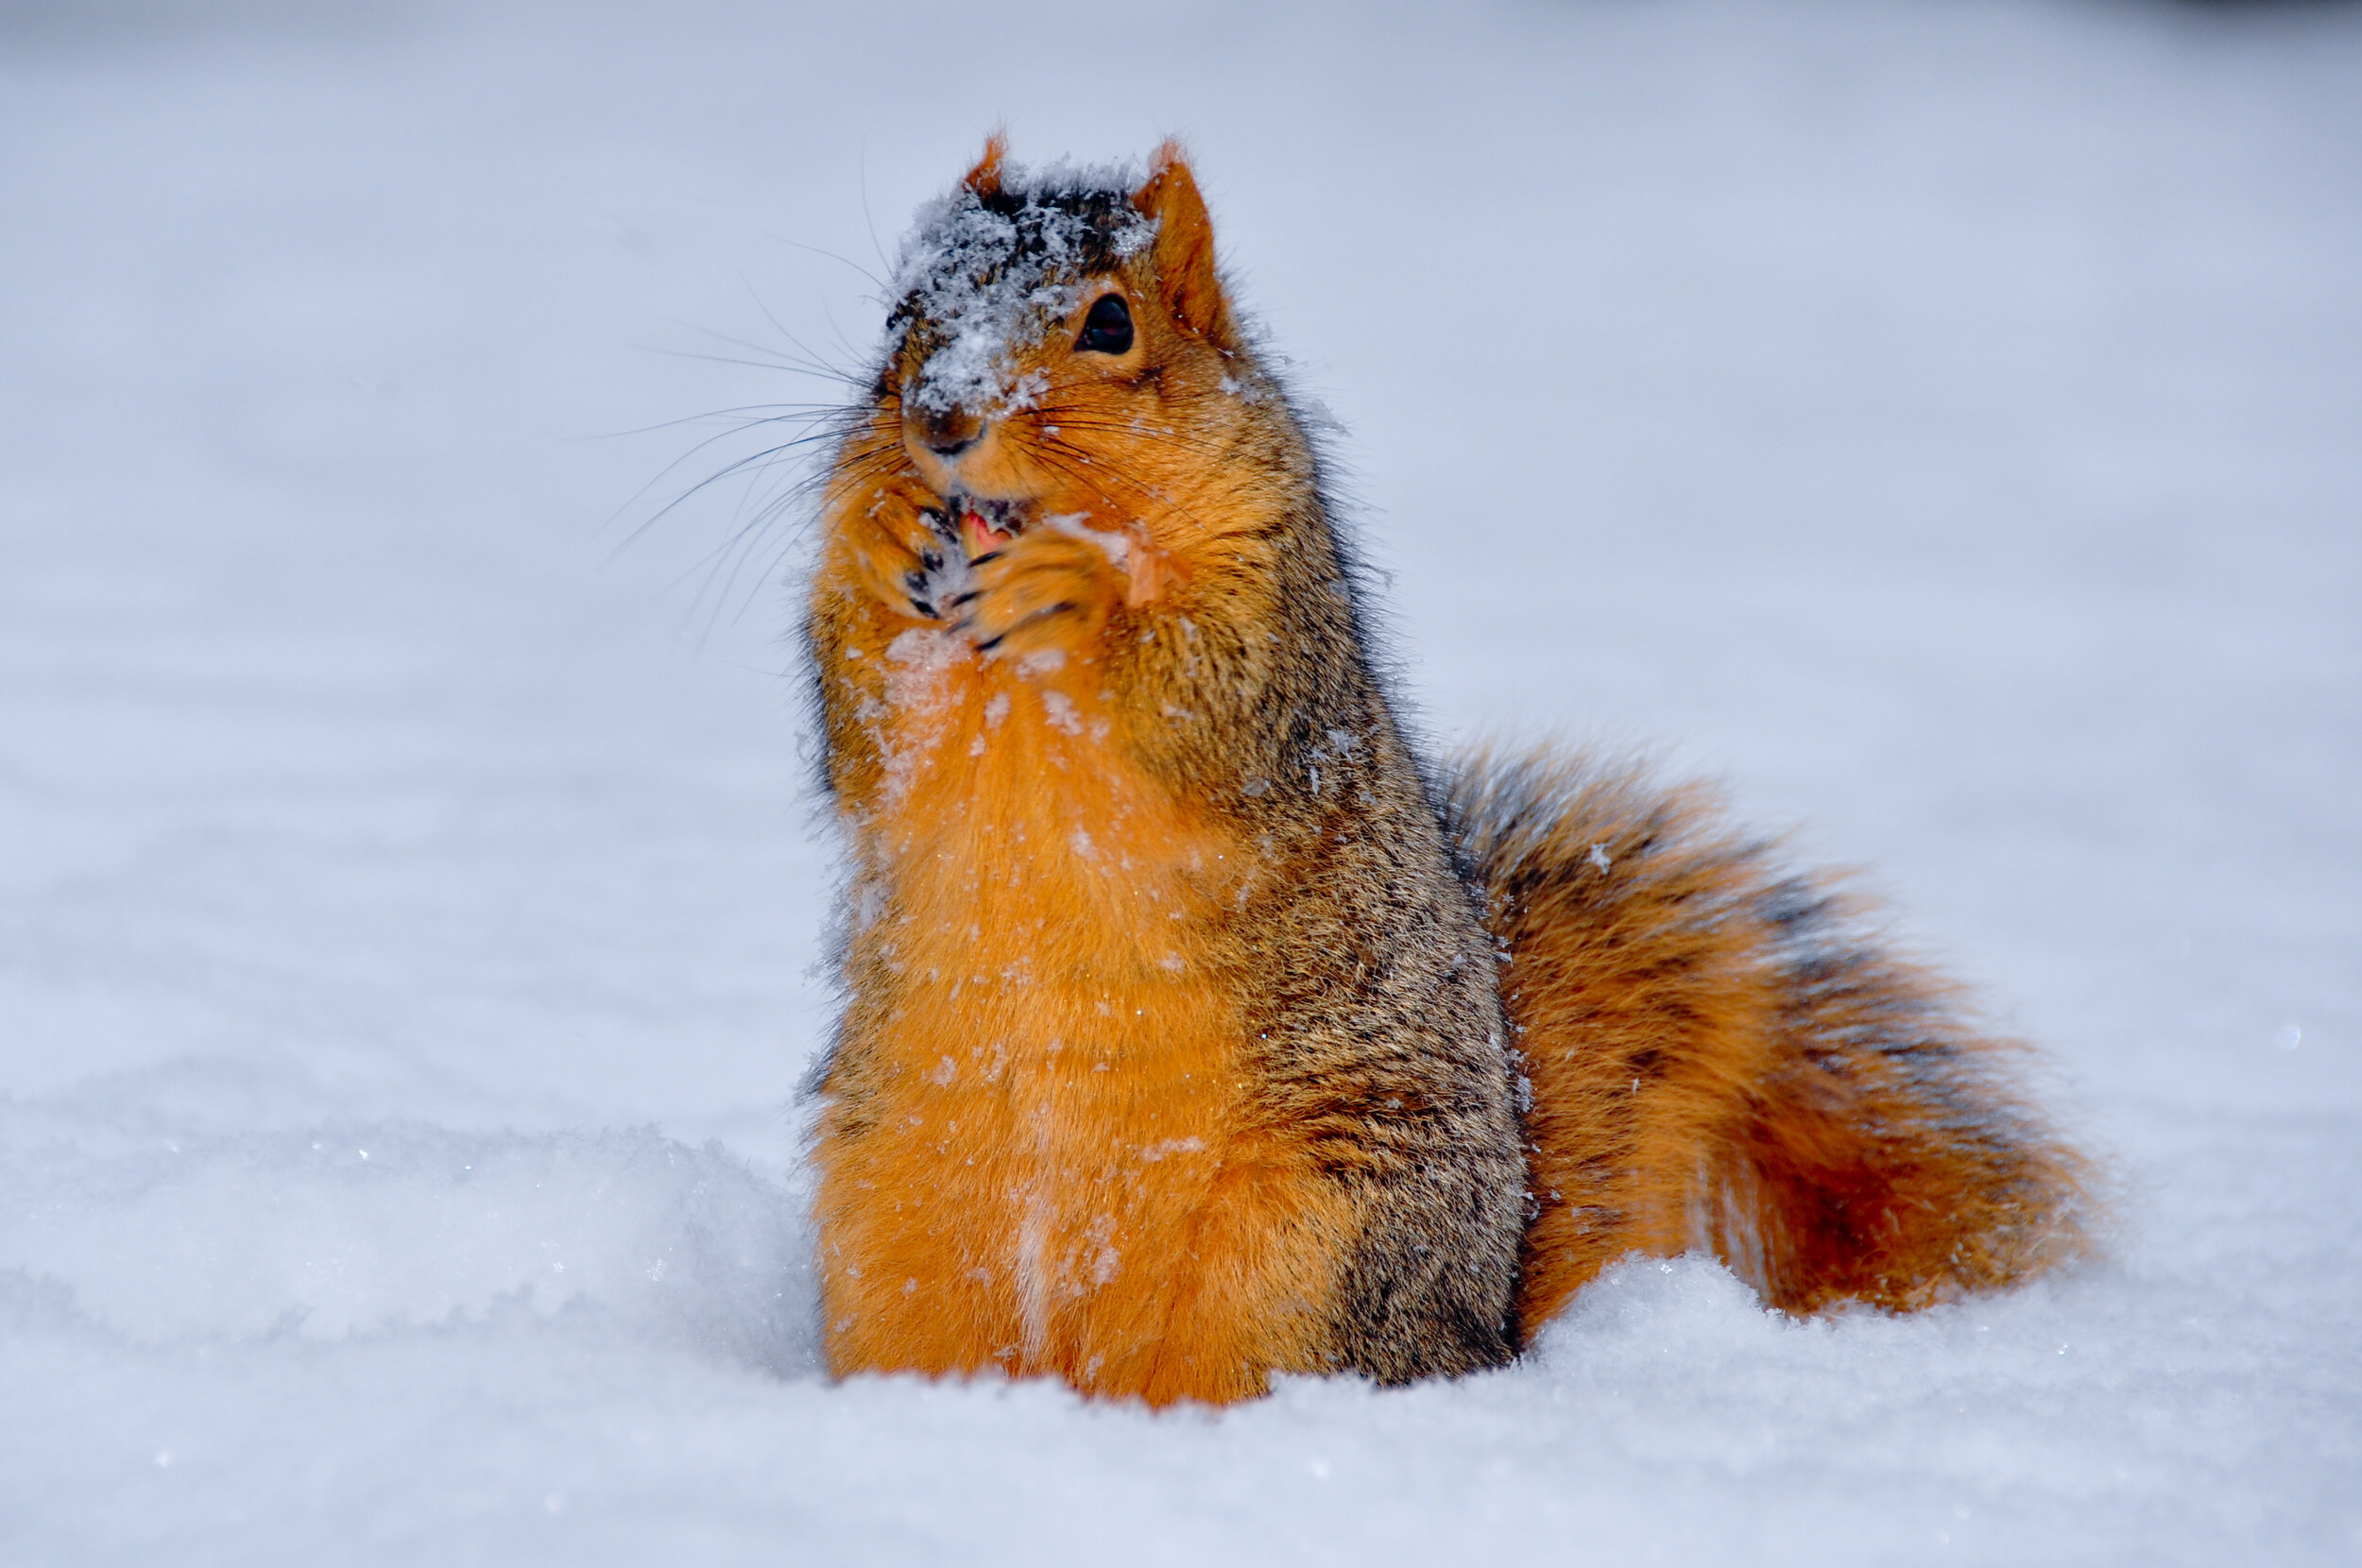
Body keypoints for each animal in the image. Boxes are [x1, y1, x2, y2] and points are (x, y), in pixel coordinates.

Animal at [801, 139, 2091, 1407]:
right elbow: (858, 724)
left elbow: (1218, 698)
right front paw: (878, 527)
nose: (940, 422)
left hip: (1321, 1239)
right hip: (894, 1221)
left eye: (1110, 324)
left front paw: (1073, 591)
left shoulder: (1284, 615)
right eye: (898, 312)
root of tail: (1486, 1324)